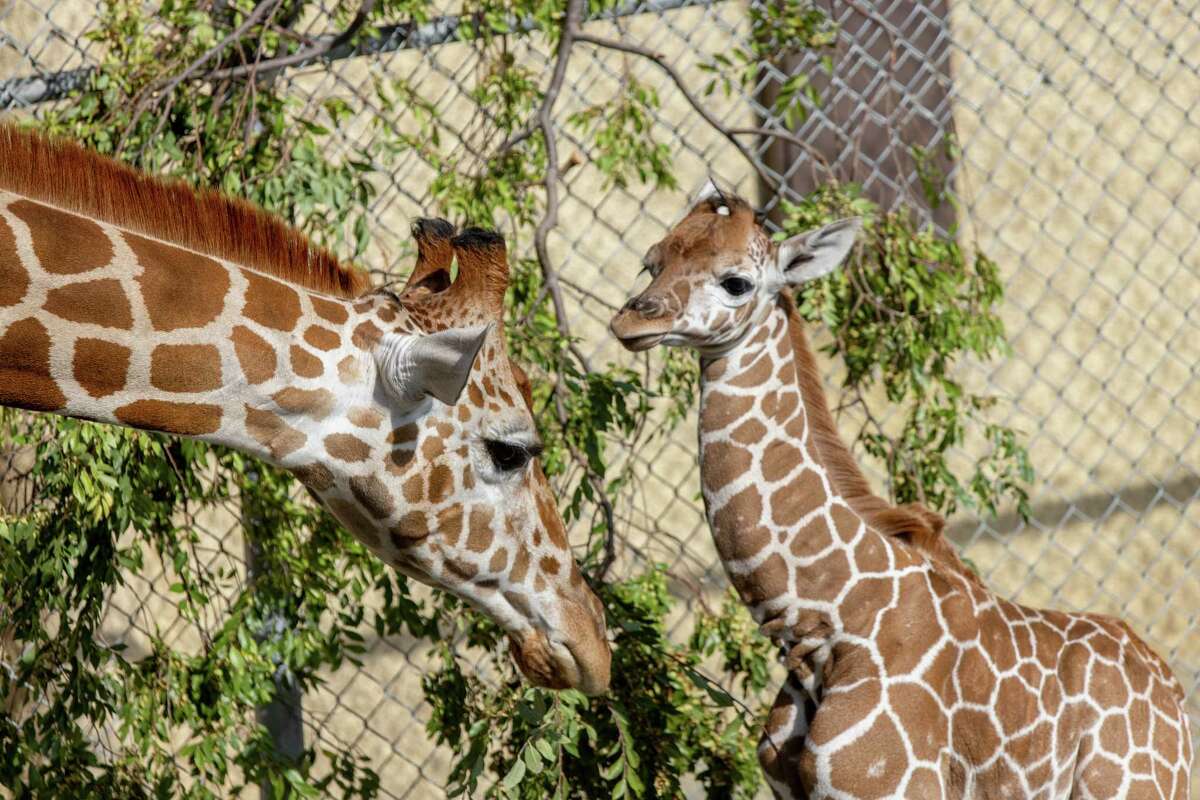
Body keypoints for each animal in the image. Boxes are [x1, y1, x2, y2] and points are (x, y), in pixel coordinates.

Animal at [610, 183, 1192, 798]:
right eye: (651, 262)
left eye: (736, 281)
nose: (630, 321)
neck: (821, 626)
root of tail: (1174, 696)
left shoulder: (888, 785)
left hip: (1129, 785)